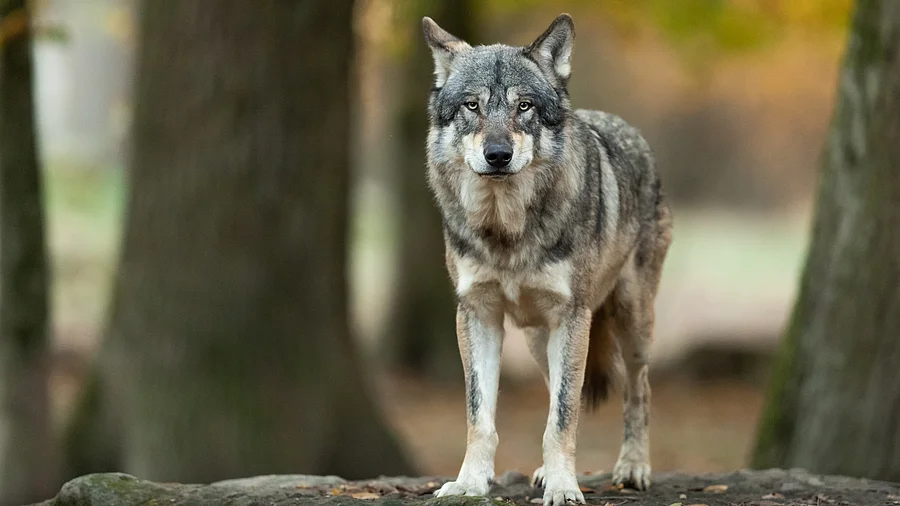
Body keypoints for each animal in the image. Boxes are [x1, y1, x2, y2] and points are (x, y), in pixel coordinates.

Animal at [421, 12, 672, 506]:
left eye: (524, 107)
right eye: (472, 106)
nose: (498, 155)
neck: (507, 230)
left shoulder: (571, 317)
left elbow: (563, 416)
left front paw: (563, 487)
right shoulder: (477, 315)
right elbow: (480, 417)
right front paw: (470, 483)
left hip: (631, 323)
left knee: (639, 389)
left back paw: (633, 468)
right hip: (540, 340)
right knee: (555, 386)